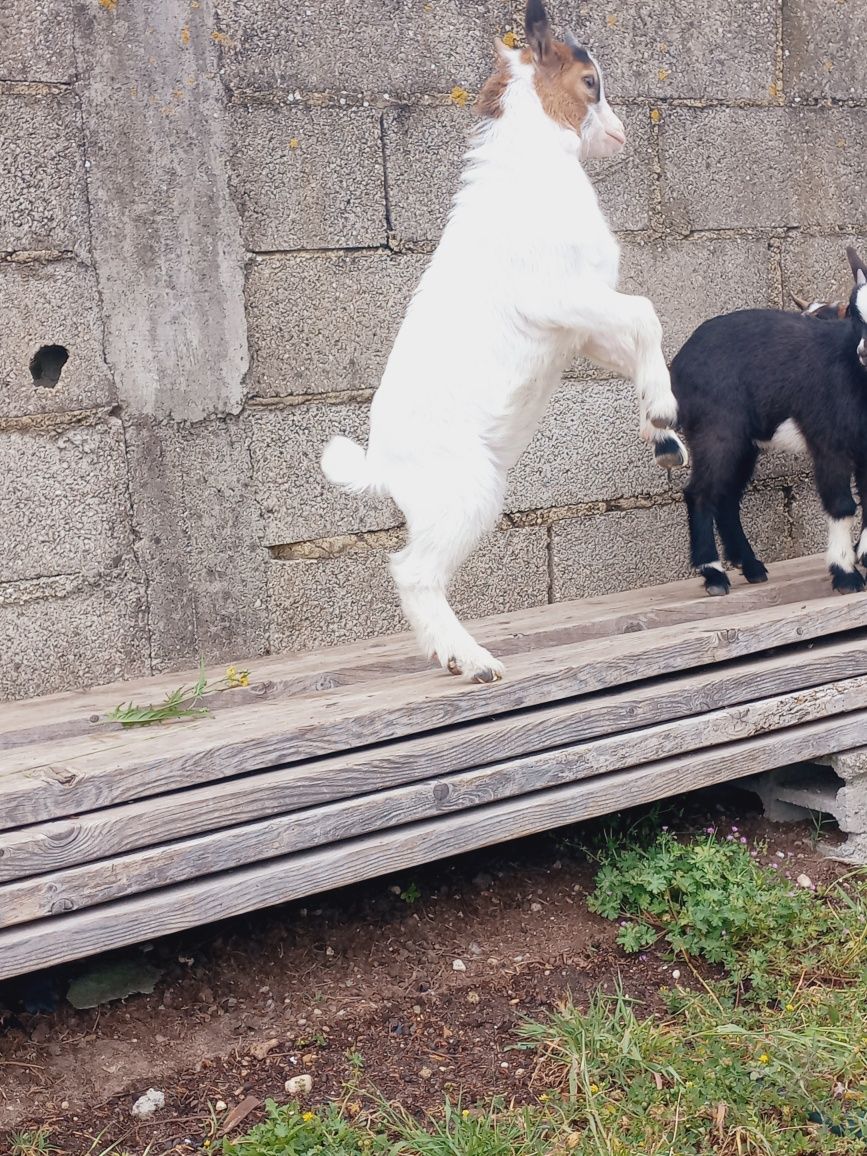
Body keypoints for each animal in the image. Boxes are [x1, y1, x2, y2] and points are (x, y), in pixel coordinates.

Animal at [321, 0, 679, 679]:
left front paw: (658, 424)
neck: (532, 173)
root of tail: (380, 465)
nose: (620, 135)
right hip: (469, 494)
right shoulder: (563, 298)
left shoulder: (581, 330)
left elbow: (639, 343)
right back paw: (471, 659)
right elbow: (647, 313)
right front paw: (665, 414)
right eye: (590, 82)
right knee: (413, 572)